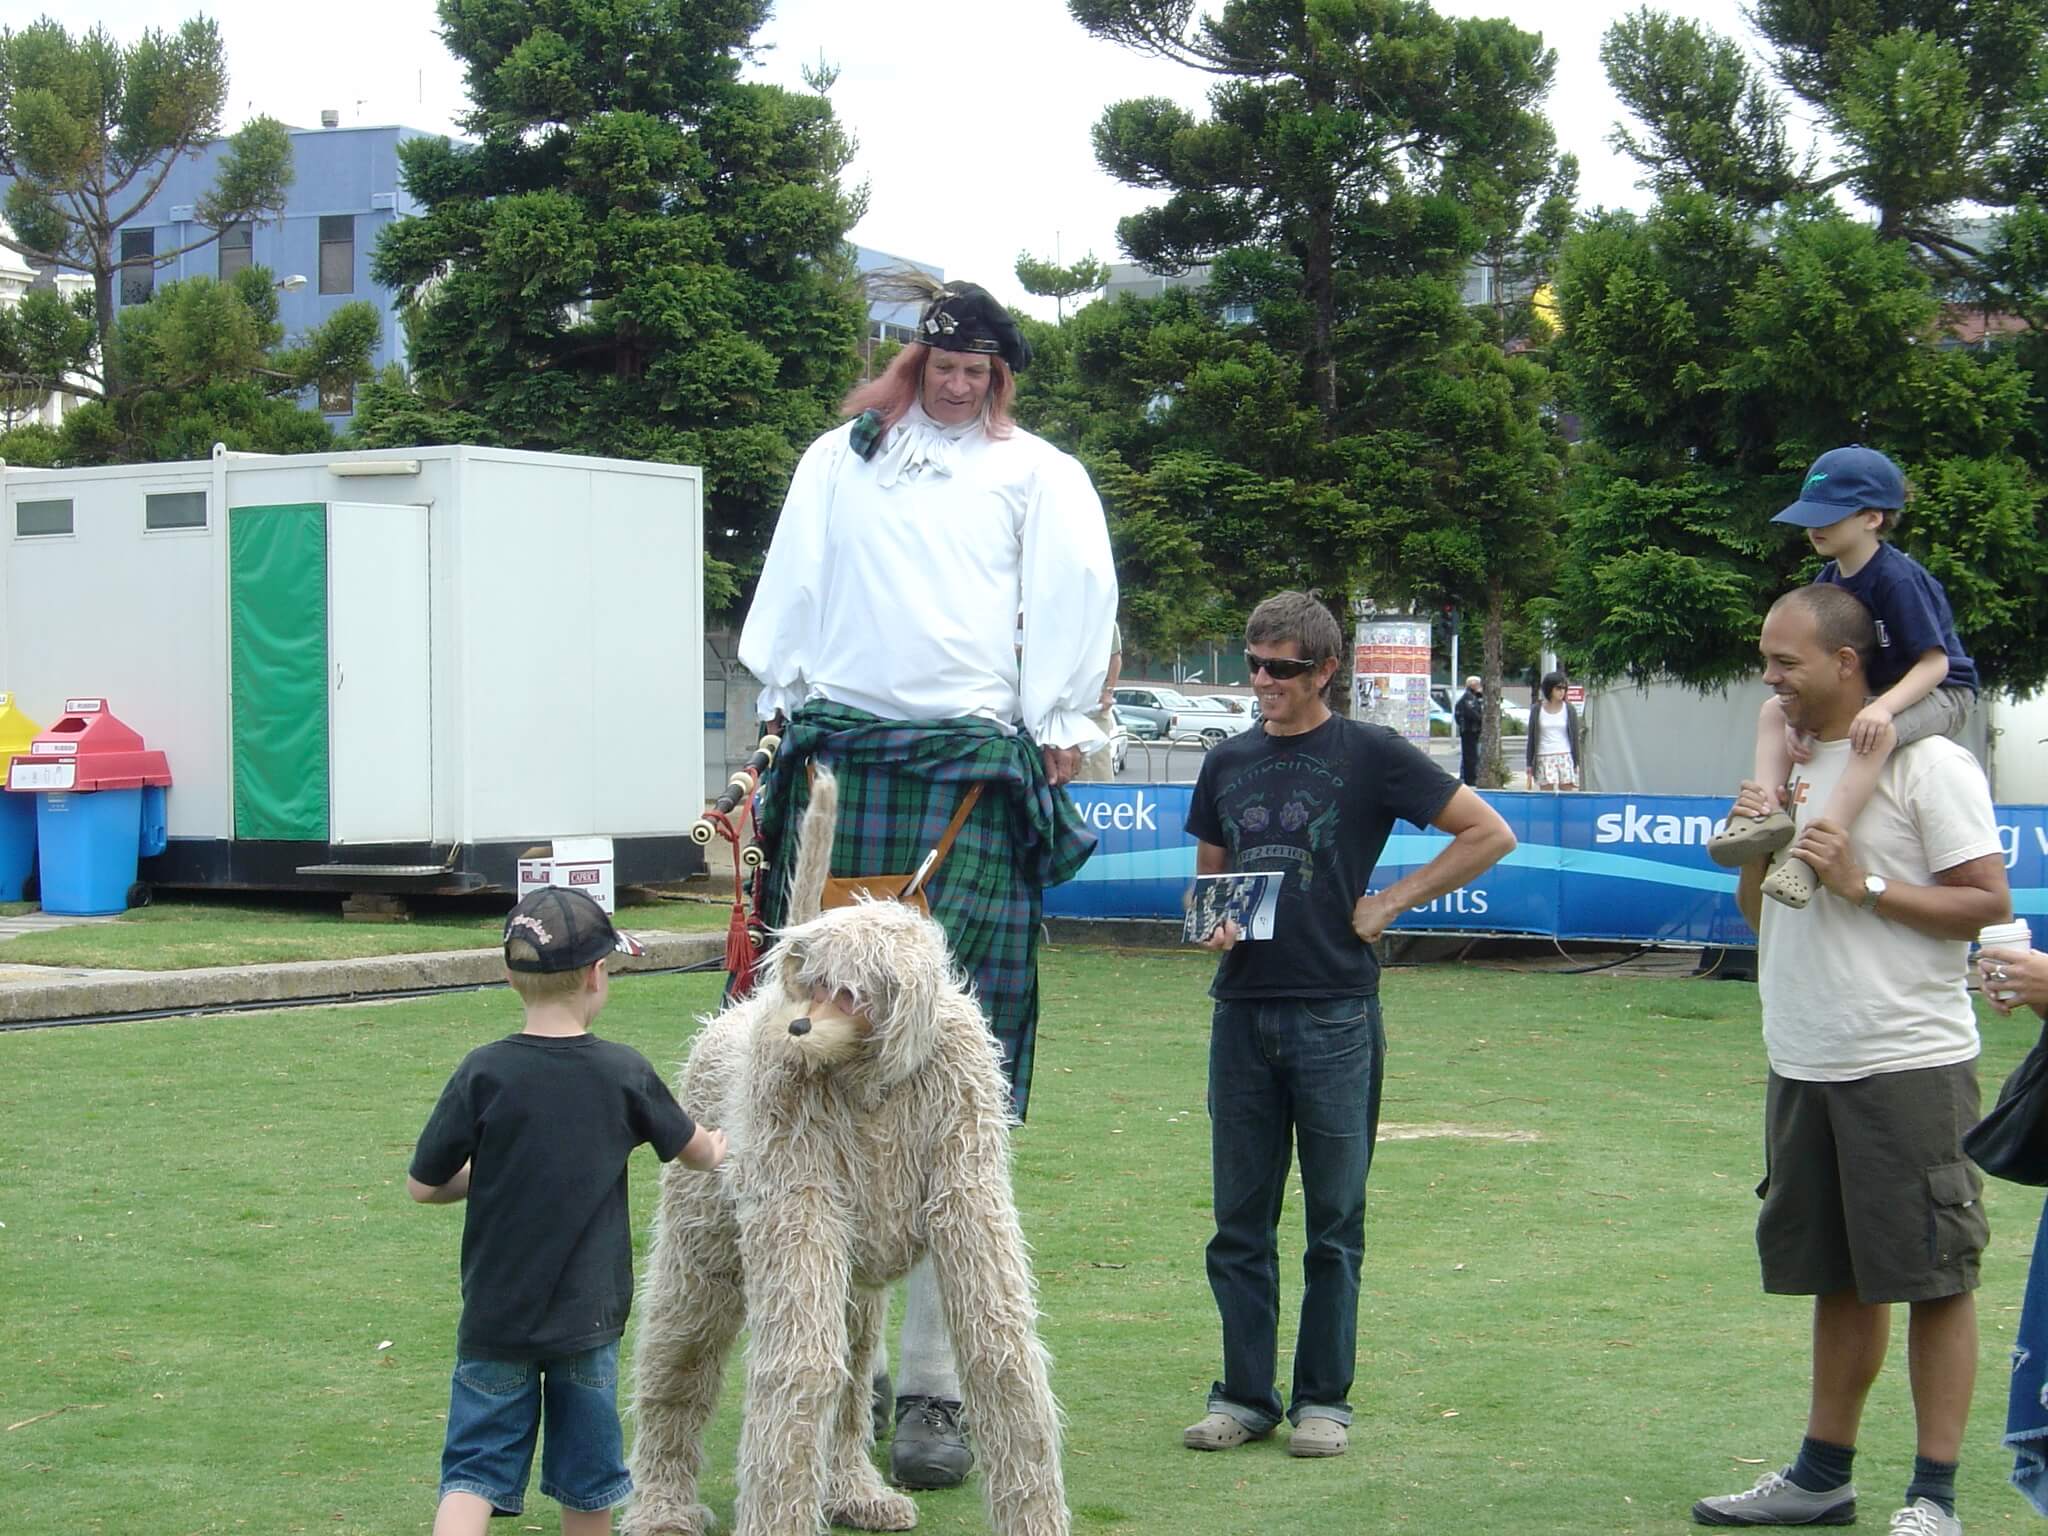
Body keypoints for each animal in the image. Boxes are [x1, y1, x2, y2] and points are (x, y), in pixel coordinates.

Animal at [626, 770, 1073, 1536]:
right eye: (813, 985)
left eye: (849, 993)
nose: (796, 1024)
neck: (873, 1079)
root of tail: (742, 1011)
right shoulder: (789, 1151)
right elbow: (800, 1366)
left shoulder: (965, 1147)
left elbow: (1000, 1355)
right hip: (706, 1242)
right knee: (680, 1349)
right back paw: (660, 1502)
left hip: (858, 1284)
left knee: (855, 1364)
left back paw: (852, 1488)